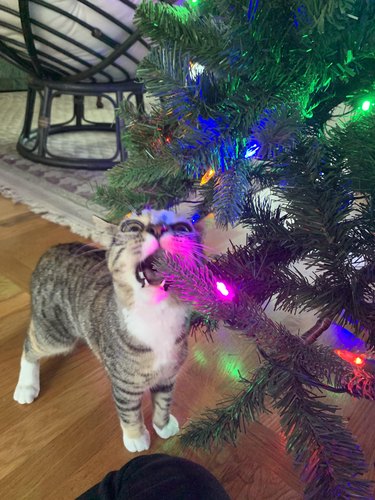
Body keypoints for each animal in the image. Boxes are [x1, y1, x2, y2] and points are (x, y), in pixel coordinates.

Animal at [12, 209, 203, 452]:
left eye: (182, 227)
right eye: (133, 227)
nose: (158, 228)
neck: (158, 314)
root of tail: (51, 250)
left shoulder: (168, 374)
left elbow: (163, 402)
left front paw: (163, 424)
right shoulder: (124, 384)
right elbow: (129, 412)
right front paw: (135, 437)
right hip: (55, 332)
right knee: (31, 343)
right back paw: (26, 385)